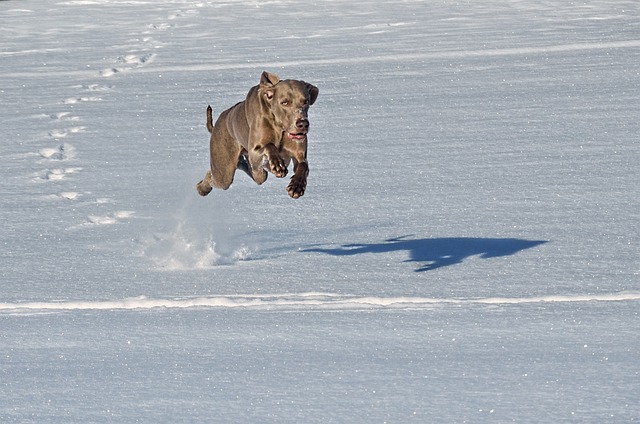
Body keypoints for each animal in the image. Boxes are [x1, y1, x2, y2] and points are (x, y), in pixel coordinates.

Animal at [196, 71, 318, 199]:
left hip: (257, 173)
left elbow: (303, 165)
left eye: (306, 101)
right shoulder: (254, 153)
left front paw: (296, 186)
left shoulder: (299, 154)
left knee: (248, 169)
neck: (280, 128)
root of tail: (215, 126)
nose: (303, 124)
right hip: (224, 171)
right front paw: (278, 164)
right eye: (284, 102)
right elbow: (269, 146)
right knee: (214, 177)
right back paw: (203, 189)